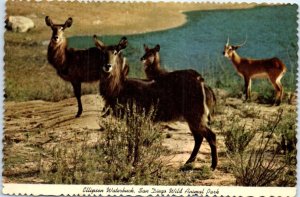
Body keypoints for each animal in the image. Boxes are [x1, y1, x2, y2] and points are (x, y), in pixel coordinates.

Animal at [94, 35, 218, 169]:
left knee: (211, 135)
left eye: (116, 52)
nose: (107, 66)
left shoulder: (135, 117)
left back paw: (213, 166)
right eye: (102, 53)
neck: (120, 88)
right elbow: (132, 141)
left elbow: (134, 140)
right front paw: (130, 161)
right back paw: (187, 163)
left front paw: (133, 163)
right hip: (192, 117)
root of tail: (202, 83)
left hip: (195, 115)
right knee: (199, 137)